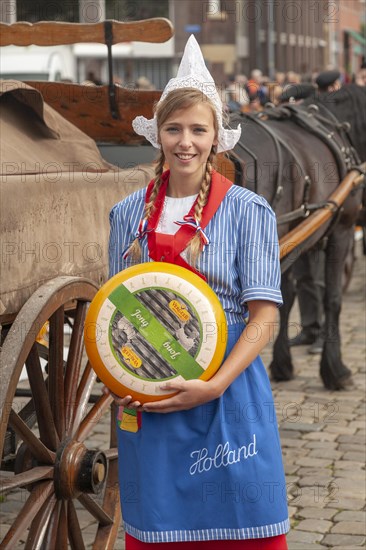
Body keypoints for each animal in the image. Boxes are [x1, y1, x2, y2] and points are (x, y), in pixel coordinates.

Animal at [227, 86, 364, 390]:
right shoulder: (341, 232)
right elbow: (333, 298)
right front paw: (335, 370)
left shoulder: (297, 240)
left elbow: (286, 298)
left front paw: (282, 364)